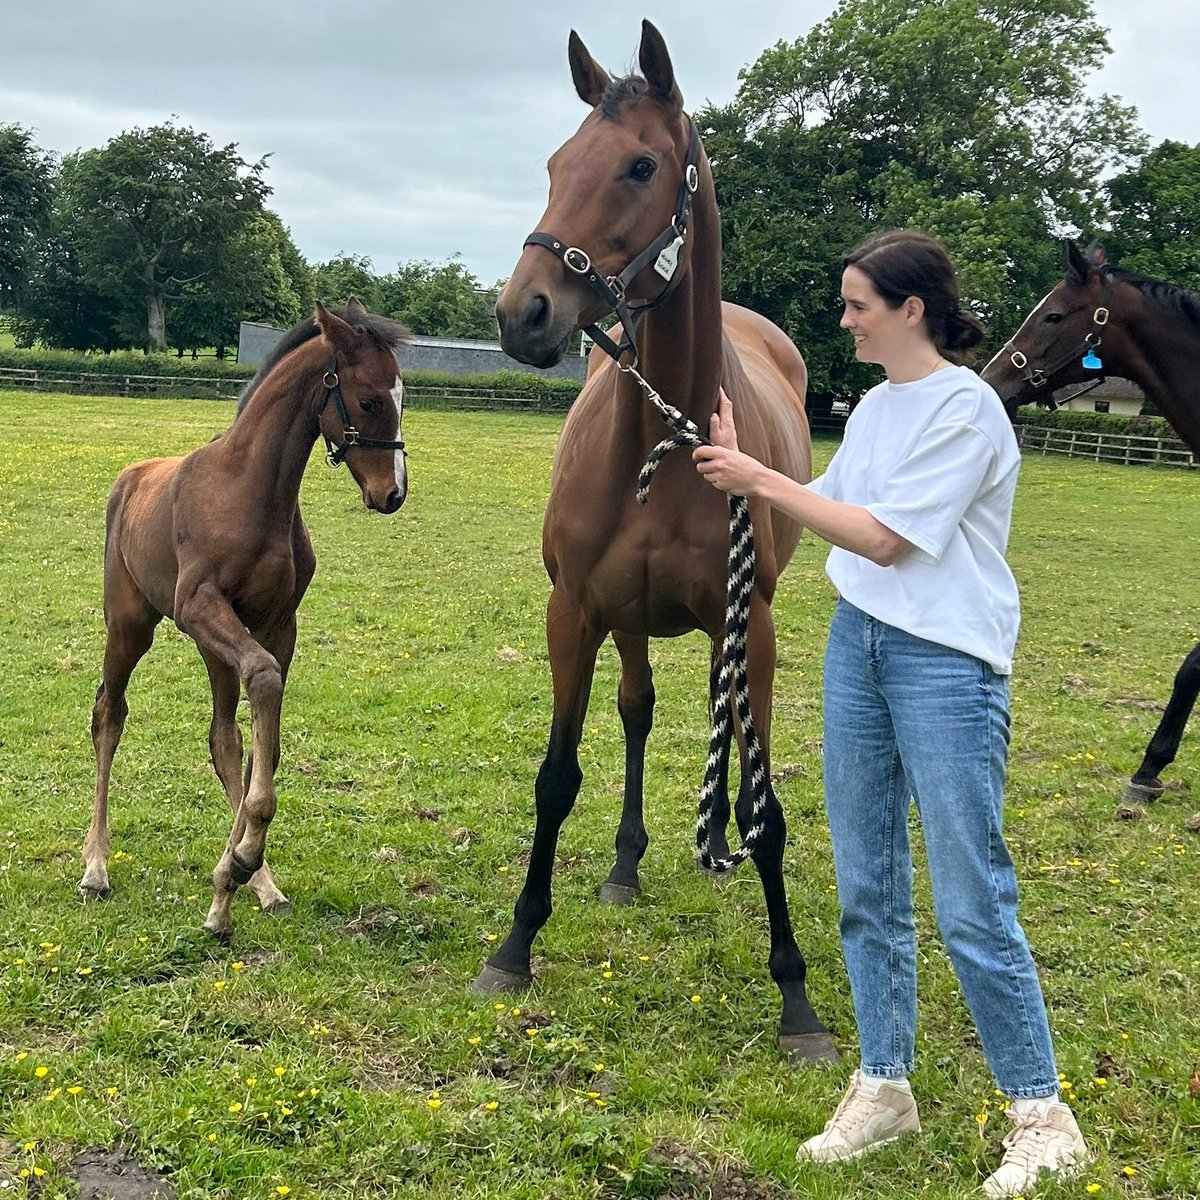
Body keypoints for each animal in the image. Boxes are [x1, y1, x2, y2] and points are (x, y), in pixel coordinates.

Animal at [82, 297, 412, 936]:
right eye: (369, 400)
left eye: (403, 394)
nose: (393, 494)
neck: (250, 490)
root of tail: (129, 478)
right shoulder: (199, 606)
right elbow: (262, 681)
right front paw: (236, 862)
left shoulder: (278, 624)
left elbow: (264, 738)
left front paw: (236, 871)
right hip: (132, 626)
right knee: (109, 713)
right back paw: (96, 867)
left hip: (212, 646)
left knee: (222, 737)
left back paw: (255, 883)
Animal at [484, 21, 835, 1060]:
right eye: (556, 163)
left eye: (641, 165)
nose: (523, 313)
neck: (668, 437)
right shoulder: (574, 613)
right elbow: (557, 777)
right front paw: (515, 945)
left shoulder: (753, 626)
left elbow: (763, 807)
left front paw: (795, 993)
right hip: (627, 619)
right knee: (637, 711)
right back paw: (627, 864)